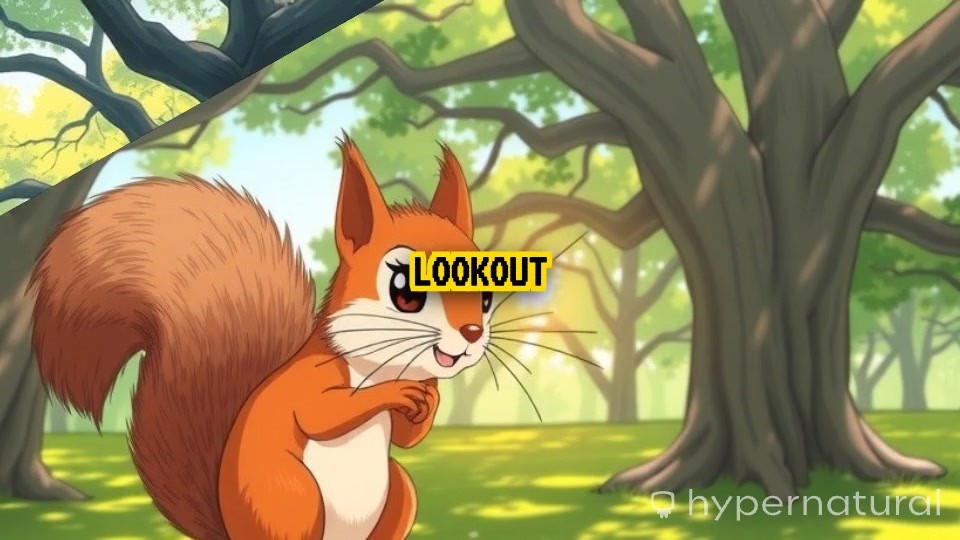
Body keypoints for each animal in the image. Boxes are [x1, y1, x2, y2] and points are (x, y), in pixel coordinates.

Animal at [30, 137, 494, 540]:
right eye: (405, 292)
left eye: (487, 292)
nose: (471, 334)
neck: (380, 366)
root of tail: (230, 530)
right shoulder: (309, 377)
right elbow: (323, 412)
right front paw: (397, 394)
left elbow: (405, 439)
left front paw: (428, 398)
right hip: (292, 497)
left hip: (399, 492)